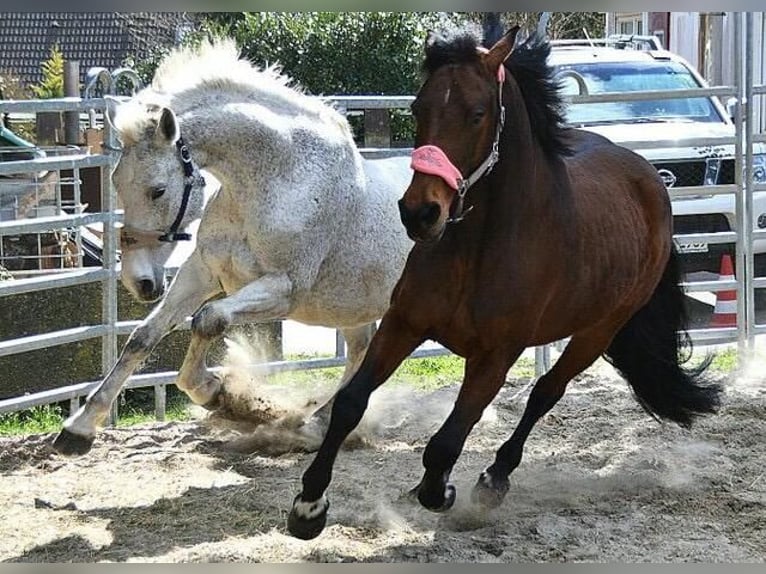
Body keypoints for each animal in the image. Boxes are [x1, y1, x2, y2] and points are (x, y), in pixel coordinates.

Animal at [53, 38, 414, 456]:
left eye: (157, 189)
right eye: (115, 180)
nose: (138, 281)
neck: (281, 179)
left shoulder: (283, 290)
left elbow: (209, 320)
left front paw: (215, 393)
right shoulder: (203, 271)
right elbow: (142, 337)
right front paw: (78, 429)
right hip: (353, 309)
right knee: (360, 355)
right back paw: (315, 425)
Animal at [284, 24, 724, 544]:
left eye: (477, 114)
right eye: (418, 108)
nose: (419, 213)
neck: (479, 248)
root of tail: (651, 182)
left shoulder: (497, 354)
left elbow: (449, 437)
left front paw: (442, 492)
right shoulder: (404, 323)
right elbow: (350, 403)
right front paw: (309, 505)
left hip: (598, 332)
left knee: (545, 392)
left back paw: (494, 480)